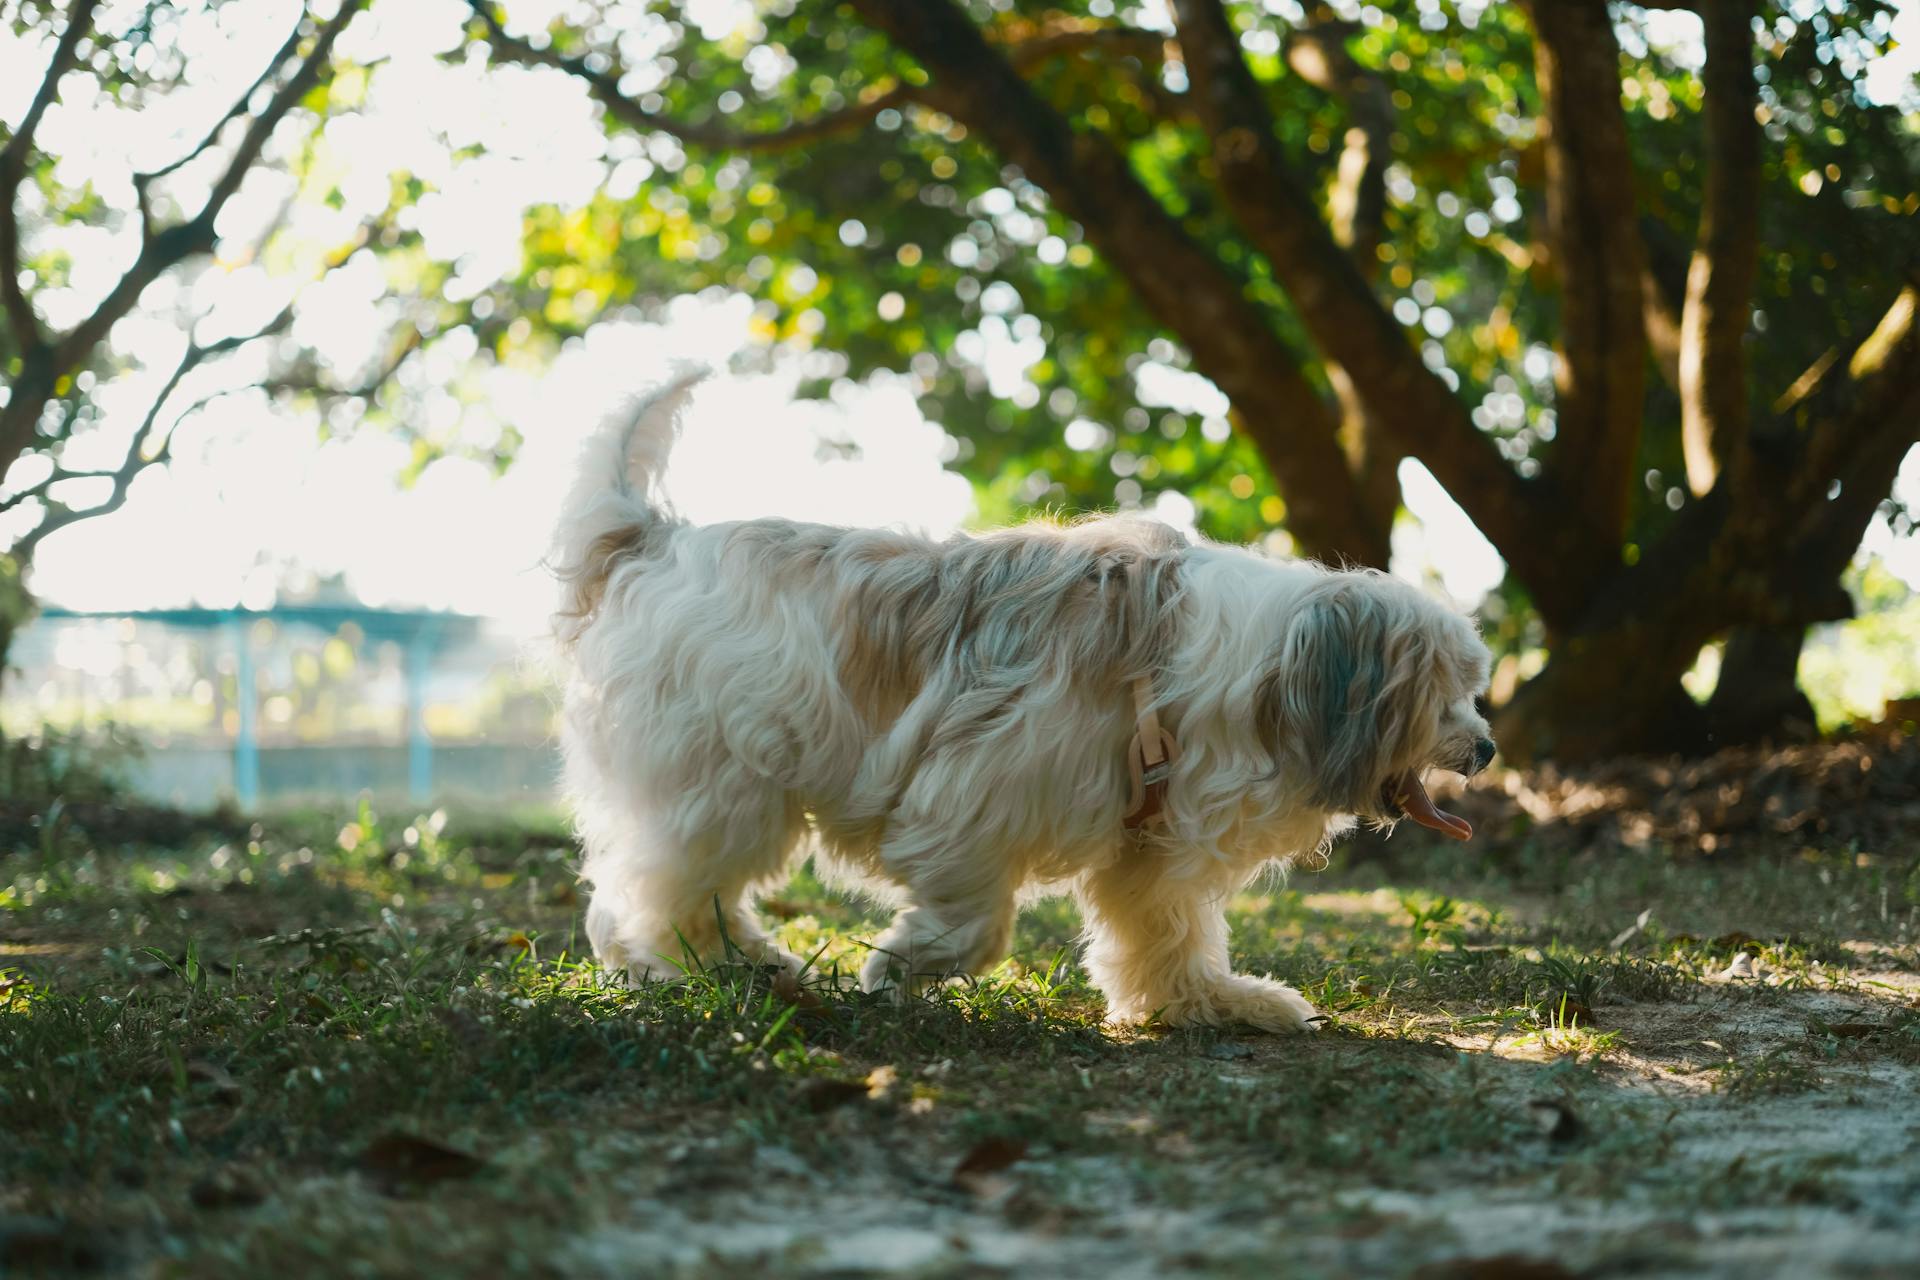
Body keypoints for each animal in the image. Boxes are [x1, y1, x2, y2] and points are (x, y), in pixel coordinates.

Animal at [549, 376, 1489, 1036]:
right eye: (1444, 695)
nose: (1484, 749)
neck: (1250, 670)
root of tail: (653, 542)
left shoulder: (1145, 845)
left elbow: (1162, 934)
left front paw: (1211, 1001)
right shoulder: (974, 793)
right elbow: (977, 920)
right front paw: (903, 964)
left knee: (642, 897)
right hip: (722, 783)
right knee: (662, 896)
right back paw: (729, 970)